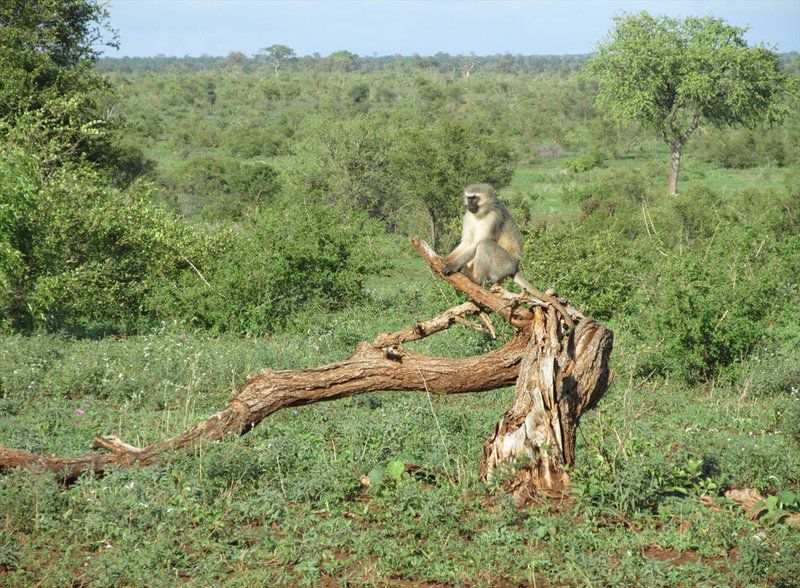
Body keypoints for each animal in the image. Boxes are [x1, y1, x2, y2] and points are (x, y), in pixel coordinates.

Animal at [444, 185, 576, 330]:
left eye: (475, 198)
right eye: (469, 198)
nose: (470, 205)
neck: (481, 215)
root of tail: (515, 266)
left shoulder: (493, 218)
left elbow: (476, 244)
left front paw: (451, 266)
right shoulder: (468, 217)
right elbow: (466, 242)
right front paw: (446, 261)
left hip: (503, 264)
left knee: (485, 244)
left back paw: (475, 279)